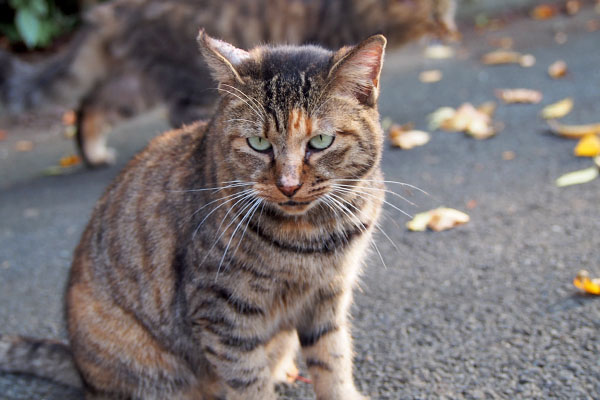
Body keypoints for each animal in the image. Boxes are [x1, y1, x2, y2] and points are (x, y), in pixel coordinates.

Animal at [0, 0, 454, 166]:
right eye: (434, 14)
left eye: (445, 13)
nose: (450, 32)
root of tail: (108, 10)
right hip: (174, 79)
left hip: (134, 82)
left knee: (90, 105)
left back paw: (93, 154)